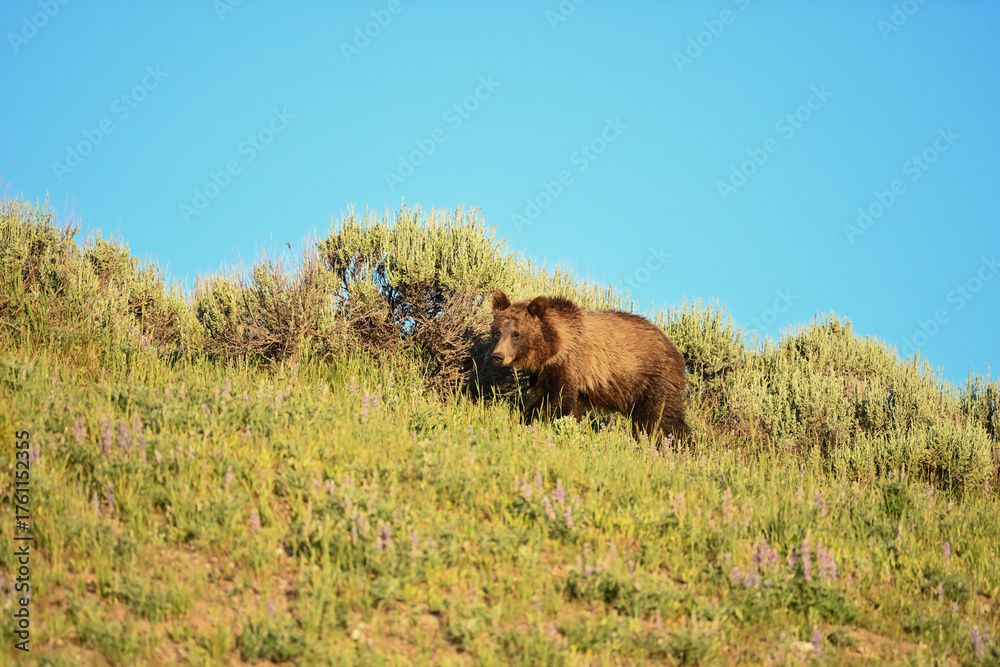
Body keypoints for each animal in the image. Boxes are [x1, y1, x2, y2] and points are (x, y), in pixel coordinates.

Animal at [490, 290, 689, 442]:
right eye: (498, 332)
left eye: (516, 334)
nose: (498, 356)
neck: (553, 347)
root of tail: (675, 350)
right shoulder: (543, 372)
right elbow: (556, 402)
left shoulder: (569, 364)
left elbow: (556, 400)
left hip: (651, 378)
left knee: (659, 417)